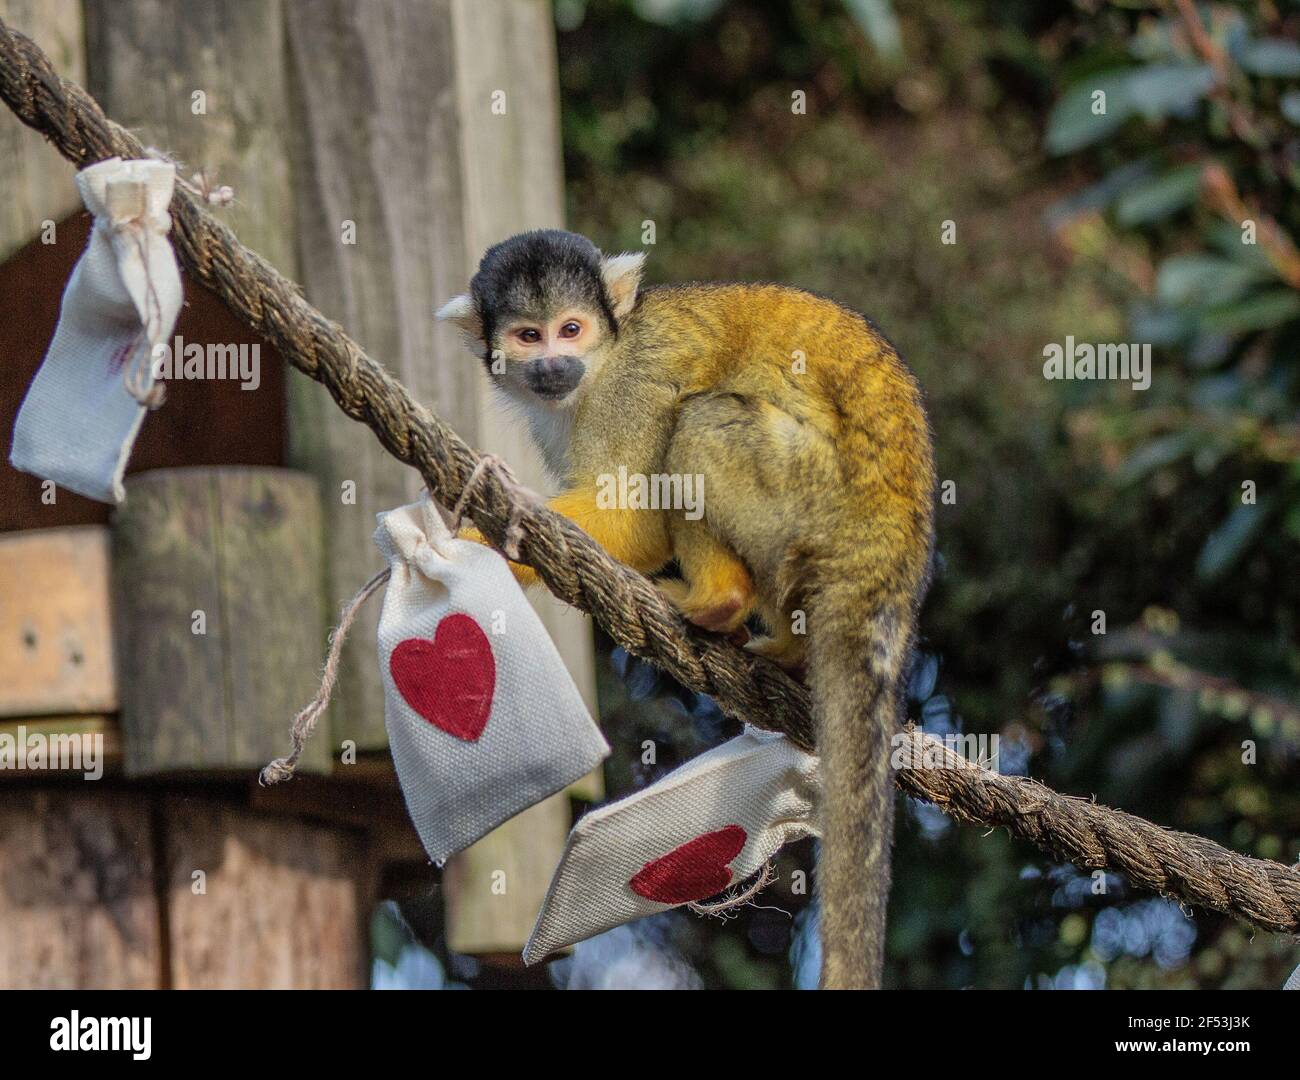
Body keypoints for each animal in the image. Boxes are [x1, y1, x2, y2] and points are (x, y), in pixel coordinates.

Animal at [436, 230, 935, 987]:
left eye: (571, 329)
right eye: (528, 335)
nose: (553, 363)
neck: (604, 358)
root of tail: (889, 551)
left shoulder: (628, 386)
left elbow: (638, 512)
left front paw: (461, 540)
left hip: (812, 497)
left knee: (699, 420)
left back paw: (717, 601)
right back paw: (785, 649)